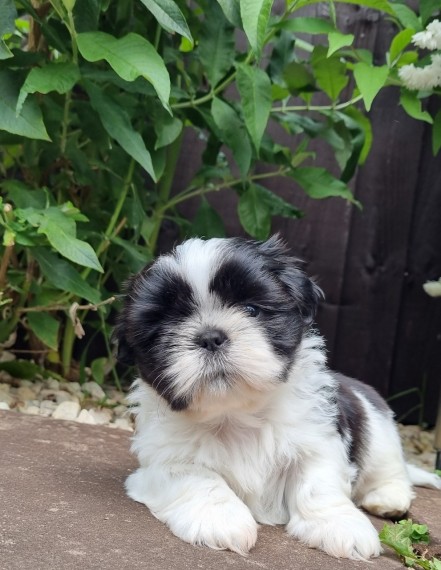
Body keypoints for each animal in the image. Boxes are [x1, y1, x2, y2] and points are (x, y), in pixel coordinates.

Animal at [114, 236, 440, 560]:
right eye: (168, 325)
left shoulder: (317, 440)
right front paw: (220, 518)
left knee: (390, 469)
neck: (234, 414)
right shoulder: (162, 460)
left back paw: (388, 497)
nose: (210, 336)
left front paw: (338, 523)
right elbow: (198, 478)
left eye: (251, 309)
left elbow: (319, 483)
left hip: (380, 432)